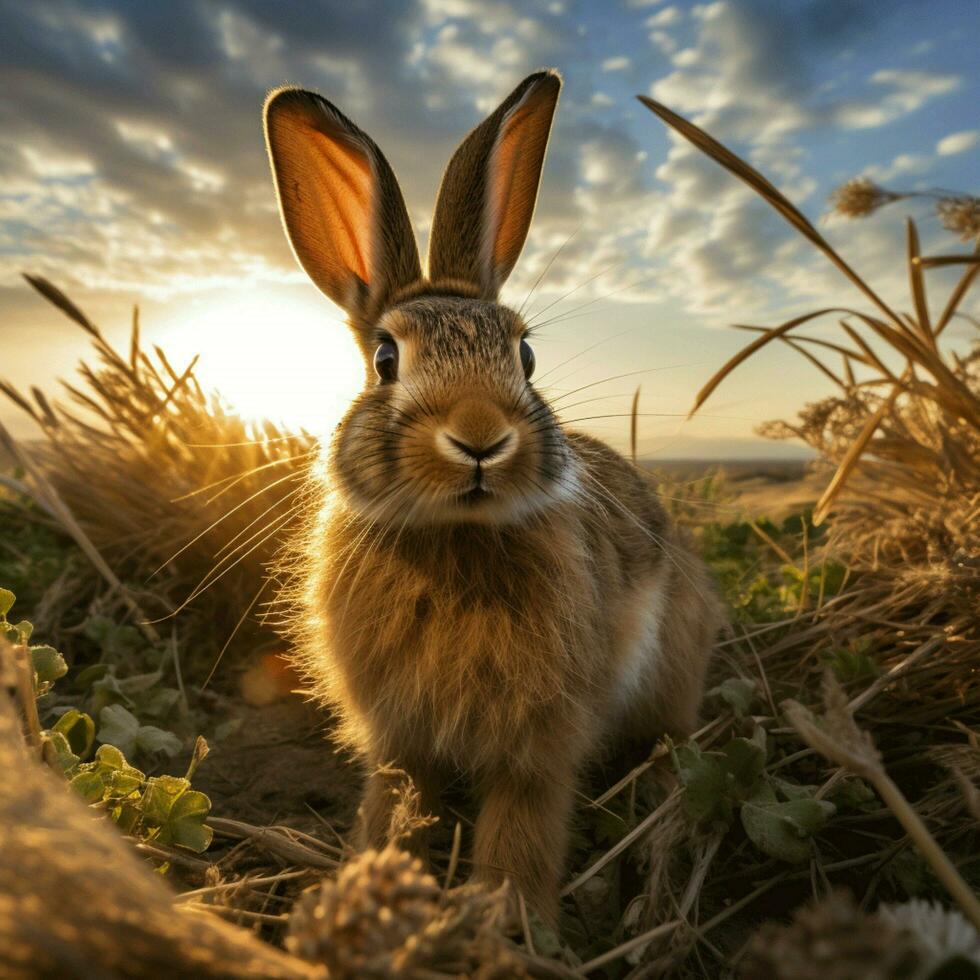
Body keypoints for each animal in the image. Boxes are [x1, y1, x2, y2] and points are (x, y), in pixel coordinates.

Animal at [264, 71, 724, 928]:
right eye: (386, 358)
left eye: (526, 354)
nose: (480, 438)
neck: (457, 534)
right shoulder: (399, 737)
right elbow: (395, 805)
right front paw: (369, 883)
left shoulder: (540, 740)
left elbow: (523, 826)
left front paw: (503, 921)